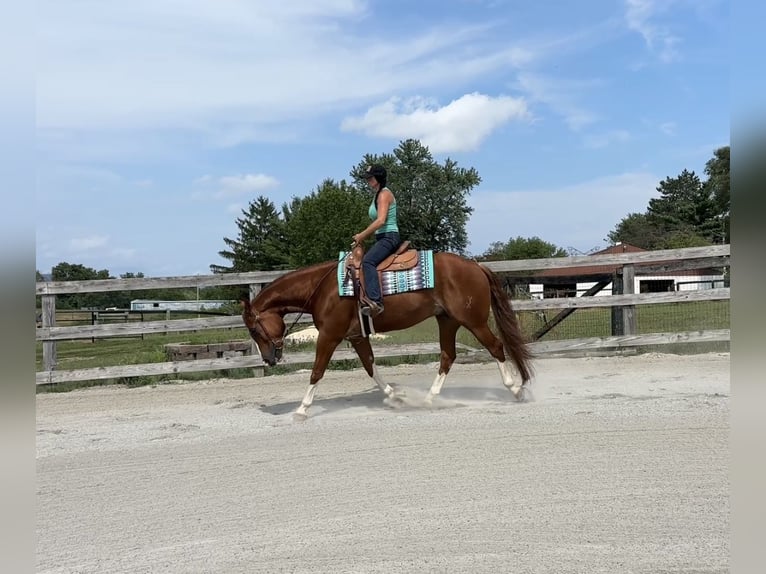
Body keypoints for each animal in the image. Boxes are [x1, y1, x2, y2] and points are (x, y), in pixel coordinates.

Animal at [241, 250, 534, 420]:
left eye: (254, 328)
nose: (268, 359)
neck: (325, 288)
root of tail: (475, 266)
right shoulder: (357, 337)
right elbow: (371, 367)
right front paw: (395, 397)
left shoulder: (329, 336)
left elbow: (317, 371)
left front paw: (302, 409)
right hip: (448, 321)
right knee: (447, 356)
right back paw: (428, 400)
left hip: (473, 321)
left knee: (496, 347)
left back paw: (516, 389)